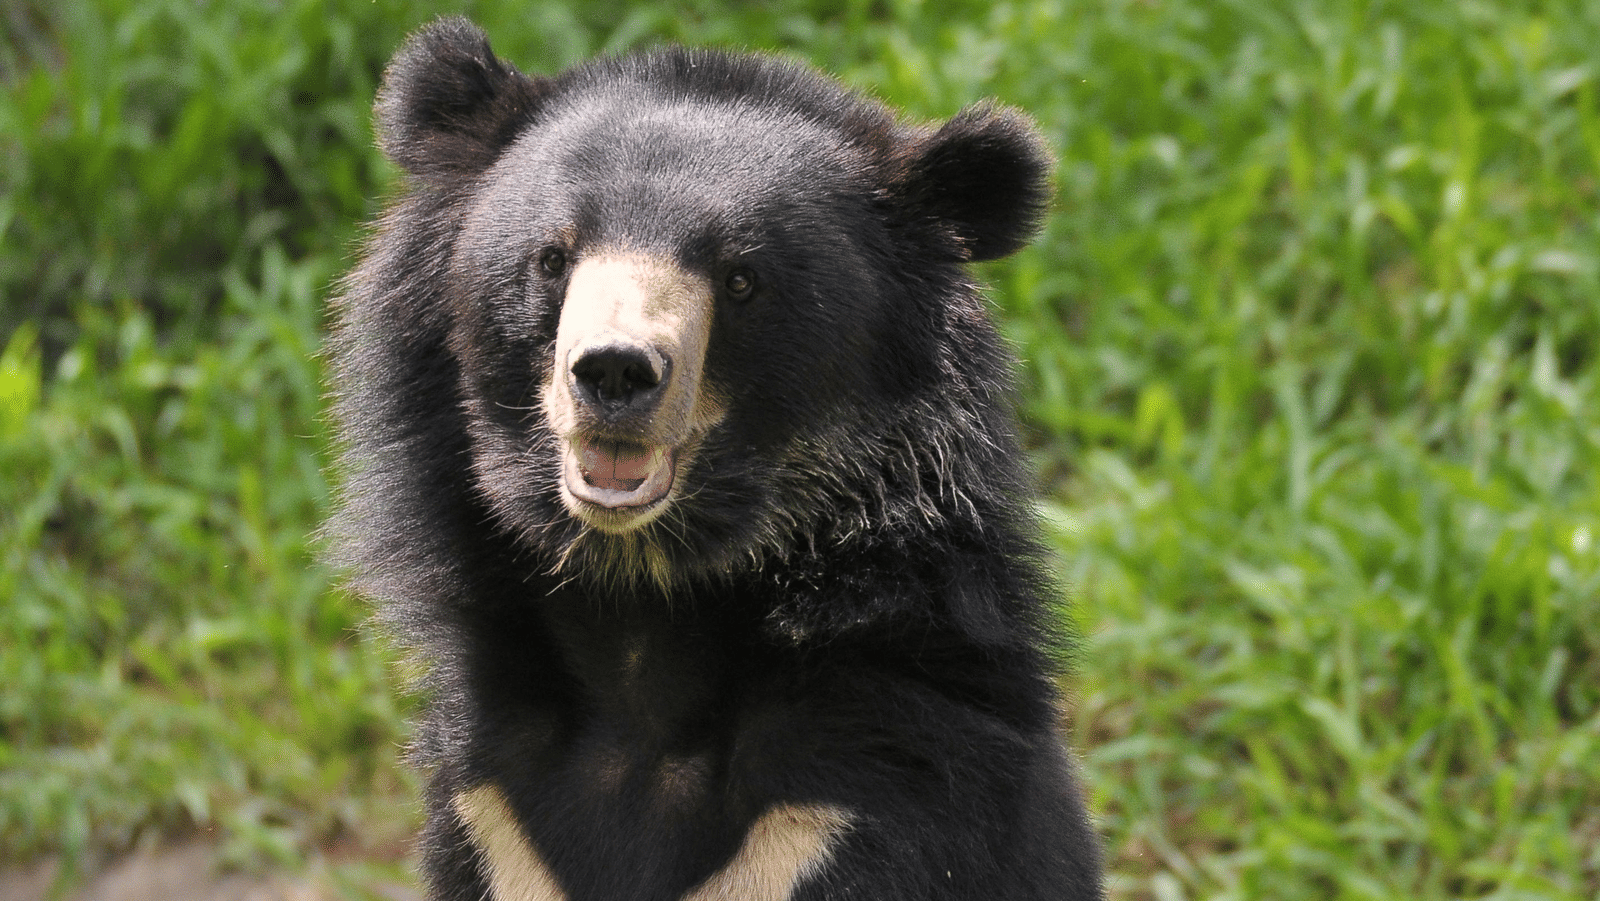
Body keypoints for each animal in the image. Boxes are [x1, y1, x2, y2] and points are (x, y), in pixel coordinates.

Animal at [329, 17, 1105, 901]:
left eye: (740, 279)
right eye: (554, 257)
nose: (614, 372)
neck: (643, 607)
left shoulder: (845, 813)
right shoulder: (490, 815)